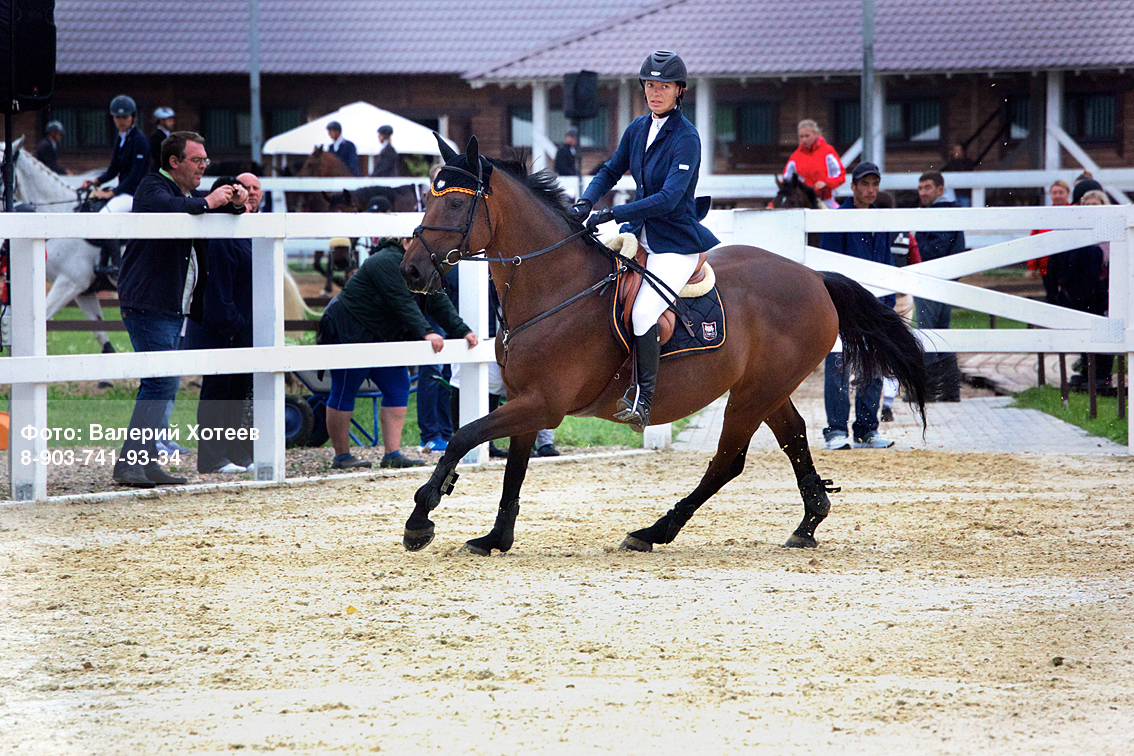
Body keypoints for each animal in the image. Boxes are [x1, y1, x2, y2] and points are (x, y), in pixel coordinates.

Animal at [403, 136, 925, 559]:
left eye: (454, 207)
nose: (411, 271)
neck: (555, 286)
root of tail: (813, 276)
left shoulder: (543, 403)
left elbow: (463, 436)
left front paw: (422, 516)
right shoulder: (524, 400)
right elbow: (513, 469)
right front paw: (495, 538)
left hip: (753, 394)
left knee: (727, 461)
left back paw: (653, 531)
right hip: (768, 388)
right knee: (793, 435)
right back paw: (809, 521)